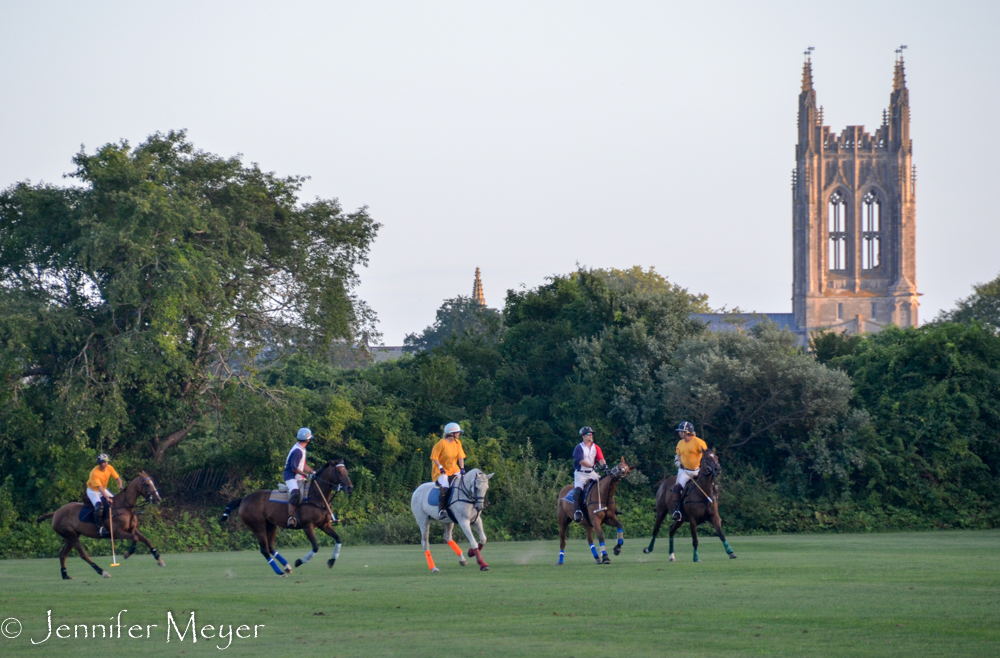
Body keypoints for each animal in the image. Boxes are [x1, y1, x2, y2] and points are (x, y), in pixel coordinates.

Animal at [37, 468, 165, 576]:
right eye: (147, 484)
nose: (158, 499)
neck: (125, 507)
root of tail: (56, 513)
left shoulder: (132, 529)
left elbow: (145, 540)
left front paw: (159, 560)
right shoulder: (117, 532)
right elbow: (136, 538)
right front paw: (127, 554)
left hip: (69, 537)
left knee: (62, 555)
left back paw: (65, 575)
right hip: (72, 536)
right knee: (83, 555)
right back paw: (102, 572)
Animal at [221, 456, 354, 576]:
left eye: (346, 471)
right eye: (338, 471)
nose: (350, 488)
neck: (316, 496)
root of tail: (243, 499)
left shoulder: (324, 525)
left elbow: (338, 539)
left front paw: (331, 561)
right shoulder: (308, 526)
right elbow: (315, 547)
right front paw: (299, 561)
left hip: (271, 525)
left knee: (271, 547)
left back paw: (287, 567)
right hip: (258, 527)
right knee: (264, 550)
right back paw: (279, 572)